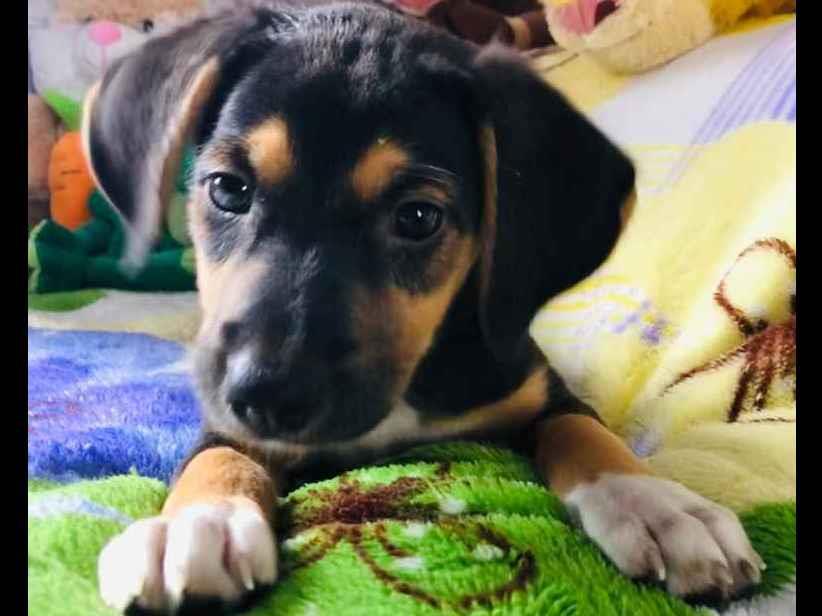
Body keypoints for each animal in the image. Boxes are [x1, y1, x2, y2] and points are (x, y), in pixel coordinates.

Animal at [84, 2, 764, 613]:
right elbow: (219, 455)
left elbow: (582, 428)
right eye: (228, 189)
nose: (269, 396)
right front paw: (196, 524)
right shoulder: (227, 418)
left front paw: (658, 504)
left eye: (417, 218)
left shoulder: (534, 383)